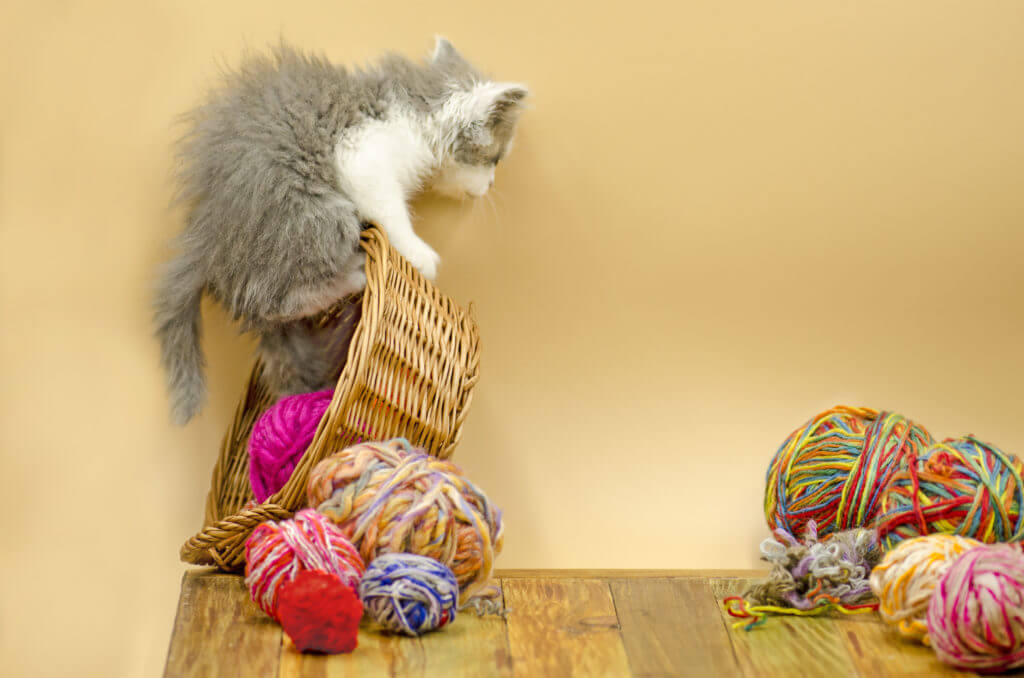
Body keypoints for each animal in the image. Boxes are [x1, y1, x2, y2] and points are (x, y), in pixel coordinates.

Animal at [157, 38, 536, 426]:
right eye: (495, 159)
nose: (490, 186)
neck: (415, 106)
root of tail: (203, 238)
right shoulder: (361, 154)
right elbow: (390, 210)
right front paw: (419, 255)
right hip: (314, 214)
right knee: (271, 303)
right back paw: (354, 277)